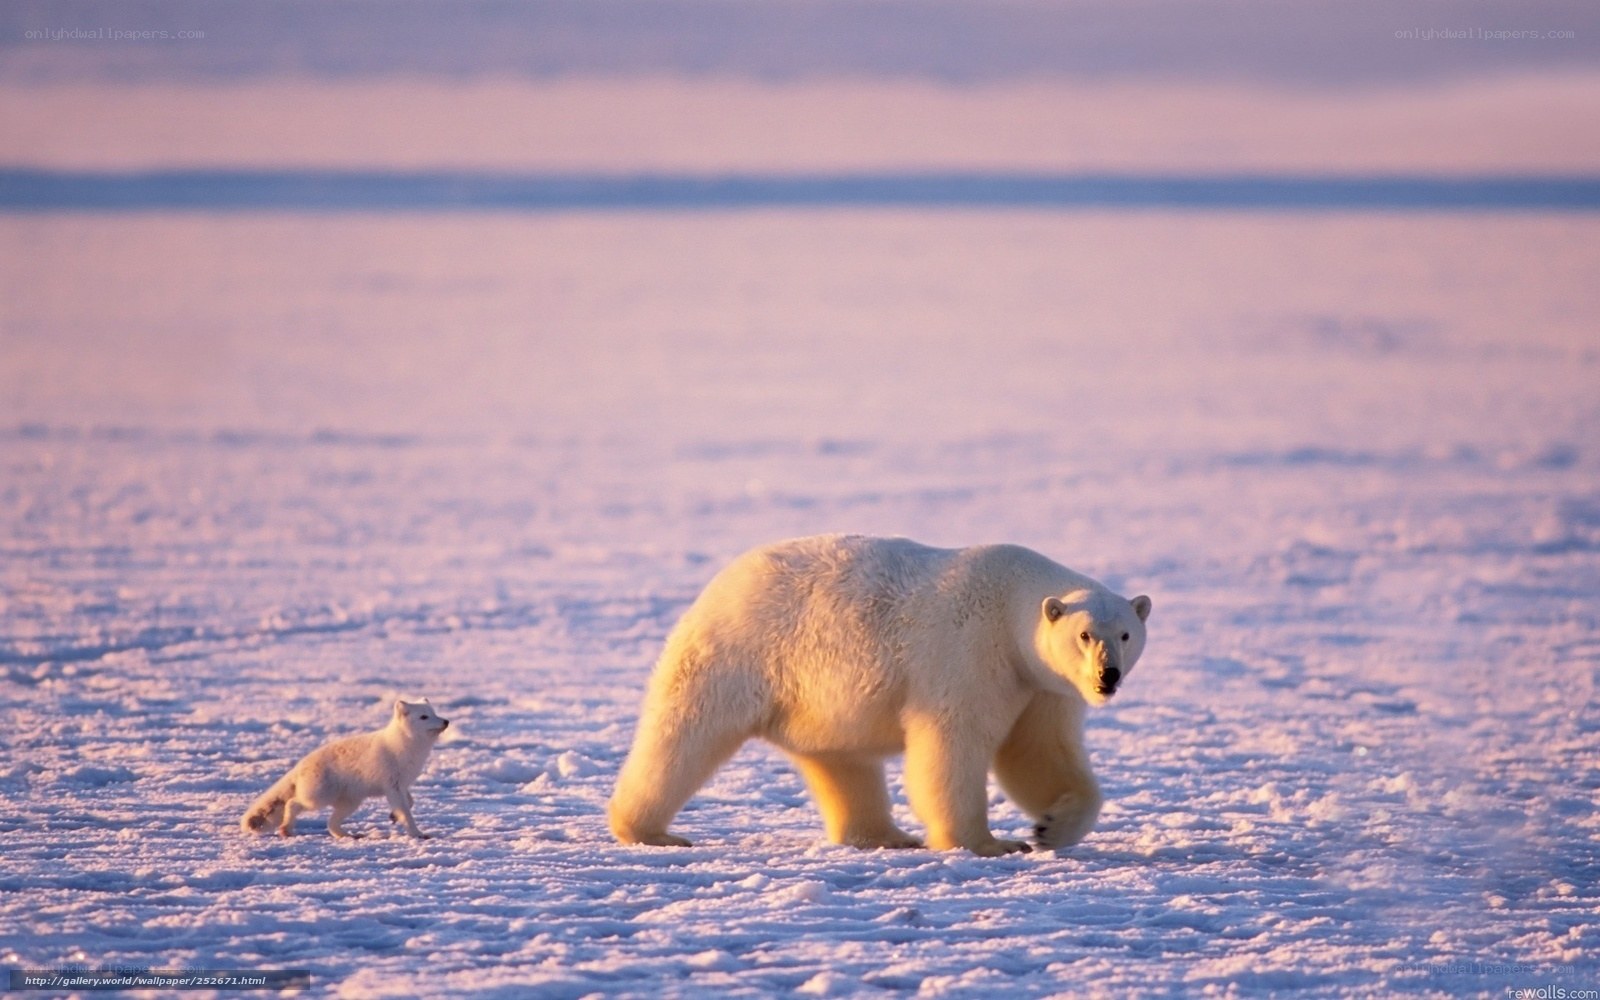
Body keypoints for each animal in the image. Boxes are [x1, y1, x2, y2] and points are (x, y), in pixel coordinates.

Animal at [240, 698, 449, 839]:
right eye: (424, 717)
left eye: (435, 712)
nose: (446, 721)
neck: (405, 747)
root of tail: (301, 765)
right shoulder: (393, 786)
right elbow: (406, 811)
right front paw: (417, 833)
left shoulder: (402, 785)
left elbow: (410, 802)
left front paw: (393, 816)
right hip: (318, 797)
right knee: (293, 803)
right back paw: (286, 829)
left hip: (350, 802)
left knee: (330, 823)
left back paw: (349, 836)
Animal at [608, 534, 1151, 856]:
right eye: (1085, 634)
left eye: (1126, 633)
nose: (1107, 676)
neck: (1010, 602)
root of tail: (720, 583)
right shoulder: (969, 653)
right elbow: (952, 745)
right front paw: (988, 843)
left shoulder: (1041, 685)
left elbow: (1038, 752)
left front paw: (1050, 826)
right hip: (740, 654)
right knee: (685, 734)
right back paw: (650, 830)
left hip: (816, 700)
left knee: (842, 762)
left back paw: (885, 835)